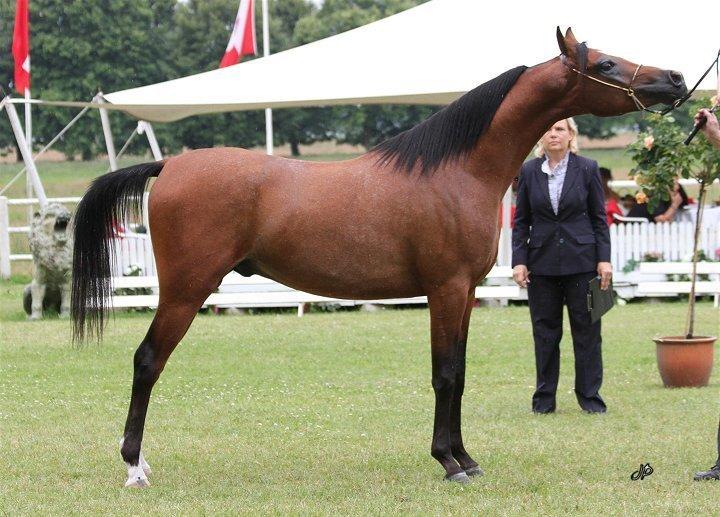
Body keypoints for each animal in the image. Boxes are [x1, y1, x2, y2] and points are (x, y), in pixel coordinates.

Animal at [71, 29, 688, 488]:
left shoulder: (466, 291)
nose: (676, 79)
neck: (457, 171)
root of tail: (170, 165)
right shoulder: (444, 288)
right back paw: (135, 466)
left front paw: (466, 457)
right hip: (185, 289)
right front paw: (448, 462)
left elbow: (460, 372)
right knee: (147, 361)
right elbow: (444, 373)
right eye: (606, 63)